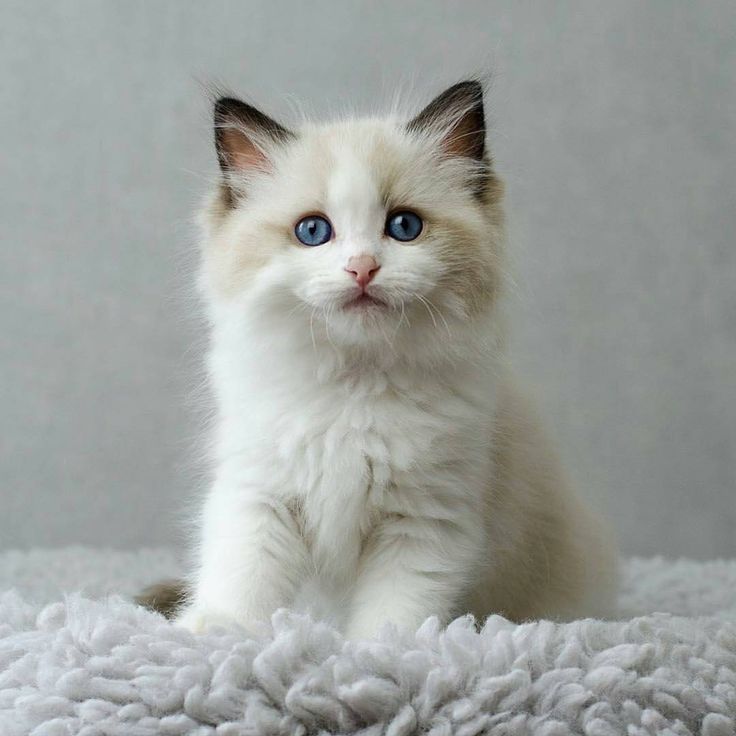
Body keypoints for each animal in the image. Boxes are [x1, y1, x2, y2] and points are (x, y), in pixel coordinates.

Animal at [167, 77, 616, 636]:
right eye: (313, 231)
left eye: (404, 226)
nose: (362, 268)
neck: (353, 384)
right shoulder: (260, 493)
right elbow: (242, 578)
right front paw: (215, 633)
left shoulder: (425, 519)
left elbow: (394, 616)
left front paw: (374, 653)